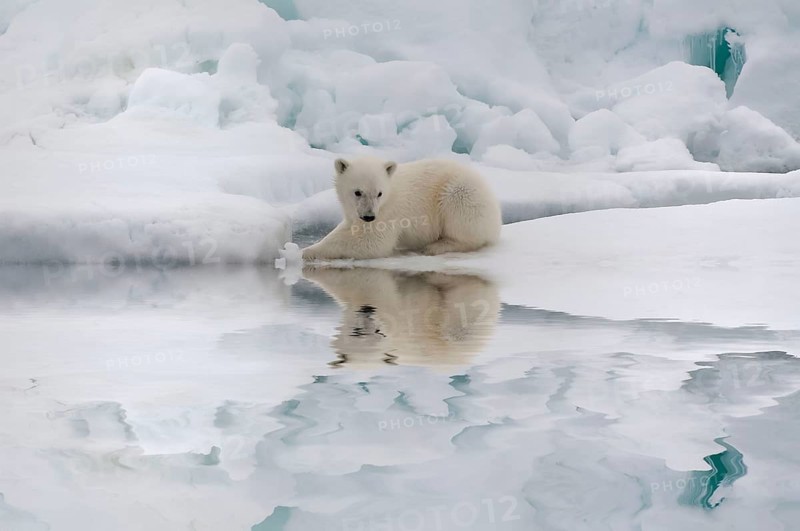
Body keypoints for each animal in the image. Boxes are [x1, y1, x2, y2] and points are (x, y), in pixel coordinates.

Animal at [301, 157, 502, 260]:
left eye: (379, 193)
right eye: (358, 192)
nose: (369, 216)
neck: (390, 191)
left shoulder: (390, 213)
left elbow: (373, 242)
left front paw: (308, 252)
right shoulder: (356, 212)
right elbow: (346, 228)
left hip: (461, 192)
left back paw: (436, 246)